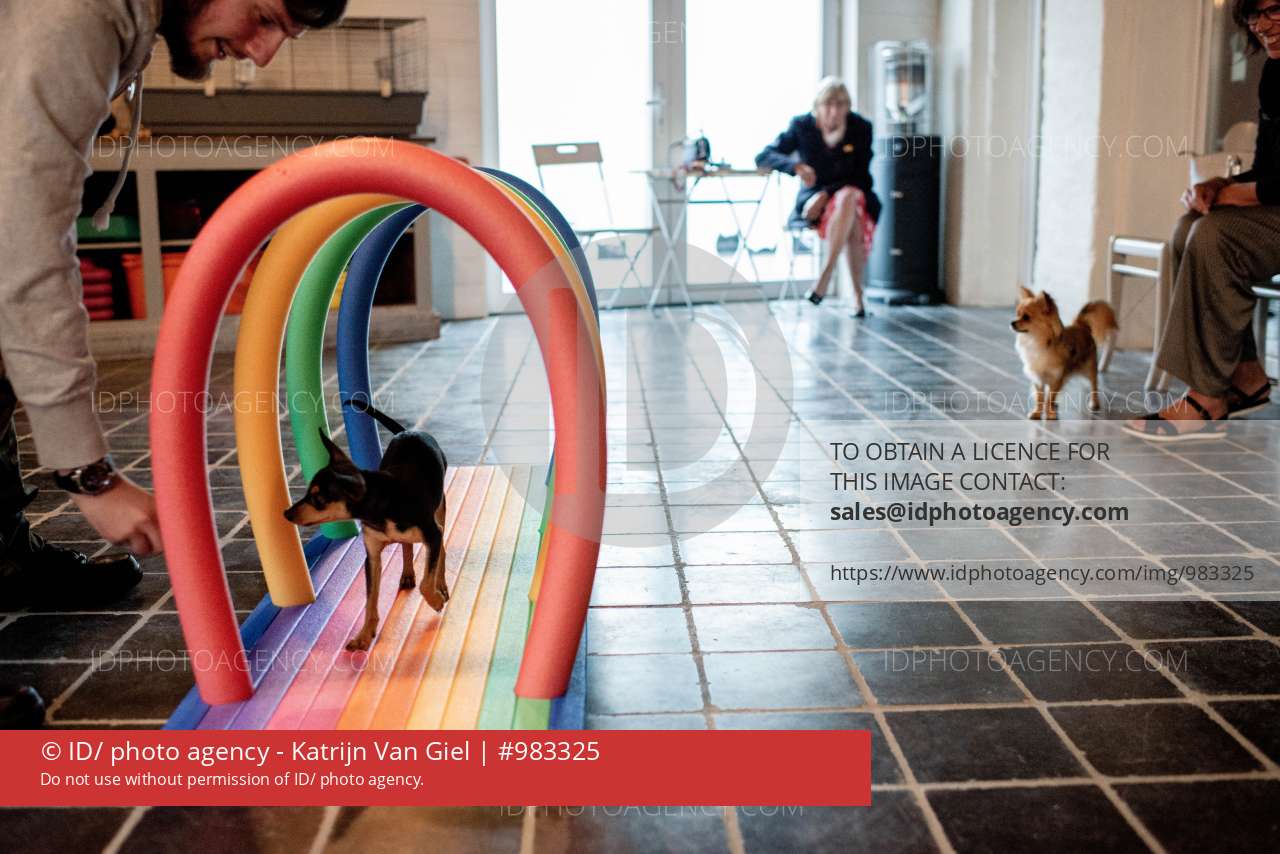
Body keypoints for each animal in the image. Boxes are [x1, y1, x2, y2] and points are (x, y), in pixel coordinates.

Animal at [283, 400, 449, 651]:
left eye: (317, 499)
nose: (286, 513)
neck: (383, 507)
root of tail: (407, 431)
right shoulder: (372, 557)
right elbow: (370, 600)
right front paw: (364, 635)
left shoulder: (431, 533)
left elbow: (426, 583)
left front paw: (436, 599)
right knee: (407, 545)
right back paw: (408, 573)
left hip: (440, 510)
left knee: (441, 551)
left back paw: (441, 584)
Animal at [1011, 286, 1118, 420]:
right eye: (1017, 314)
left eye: (1026, 317)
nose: (1012, 323)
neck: (1036, 340)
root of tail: (1080, 325)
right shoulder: (1039, 379)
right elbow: (1040, 398)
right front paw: (1037, 412)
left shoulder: (1057, 377)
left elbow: (1050, 397)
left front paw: (1050, 413)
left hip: (1089, 368)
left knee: (1094, 384)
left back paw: (1094, 402)